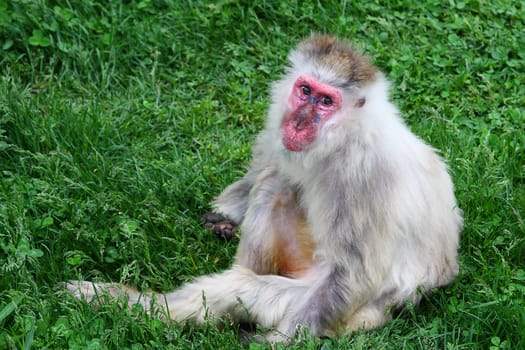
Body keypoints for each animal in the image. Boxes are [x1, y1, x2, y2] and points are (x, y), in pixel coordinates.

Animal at [66, 34, 462, 342]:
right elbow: (268, 166)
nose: (300, 121)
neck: (342, 137)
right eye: (305, 91)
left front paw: (280, 341)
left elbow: (355, 273)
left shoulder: (362, 176)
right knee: (276, 182)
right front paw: (224, 216)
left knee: (247, 287)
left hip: (328, 304)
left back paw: (134, 305)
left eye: (326, 101)